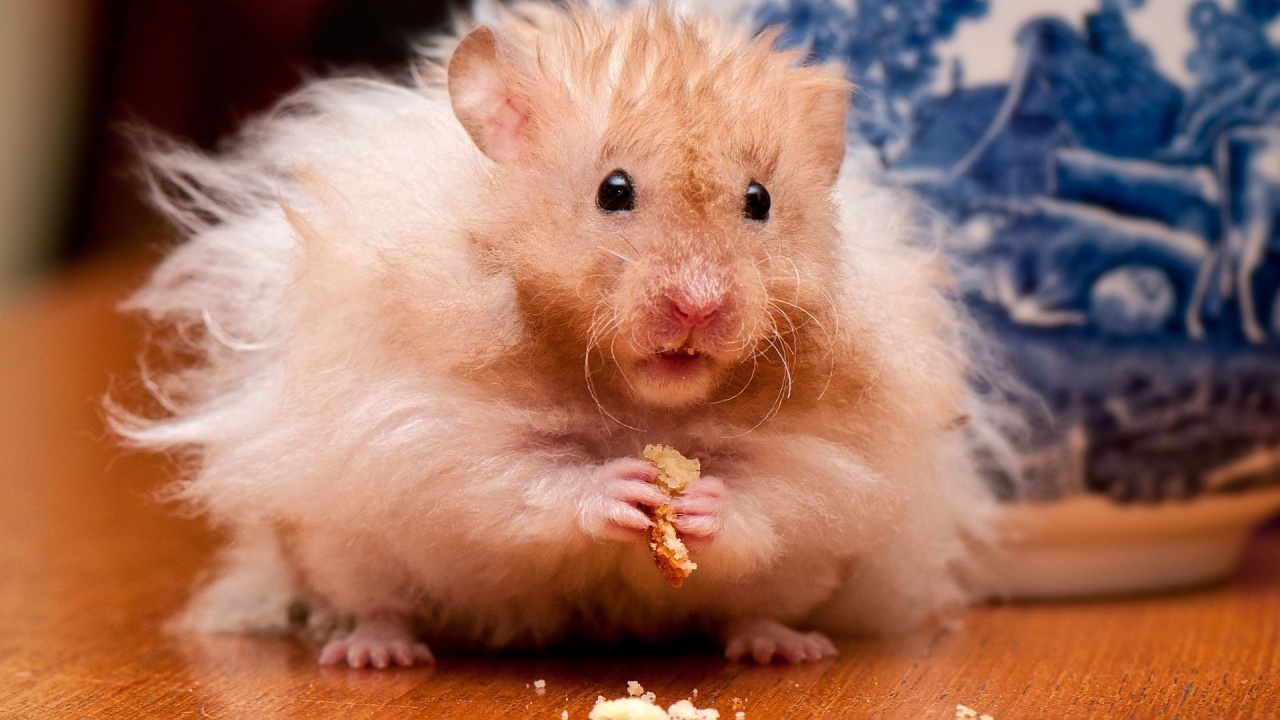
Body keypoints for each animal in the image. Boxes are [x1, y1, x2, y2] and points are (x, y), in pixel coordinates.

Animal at [113, 0, 1005, 668]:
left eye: (759, 200)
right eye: (613, 190)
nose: (699, 306)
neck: (637, 401)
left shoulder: (835, 462)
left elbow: (769, 493)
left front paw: (699, 501)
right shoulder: (426, 430)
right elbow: (518, 479)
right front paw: (623, 488)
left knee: (752, 609)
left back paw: (787, 647)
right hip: (341, 543)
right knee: (378, 601)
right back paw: (374, 653)